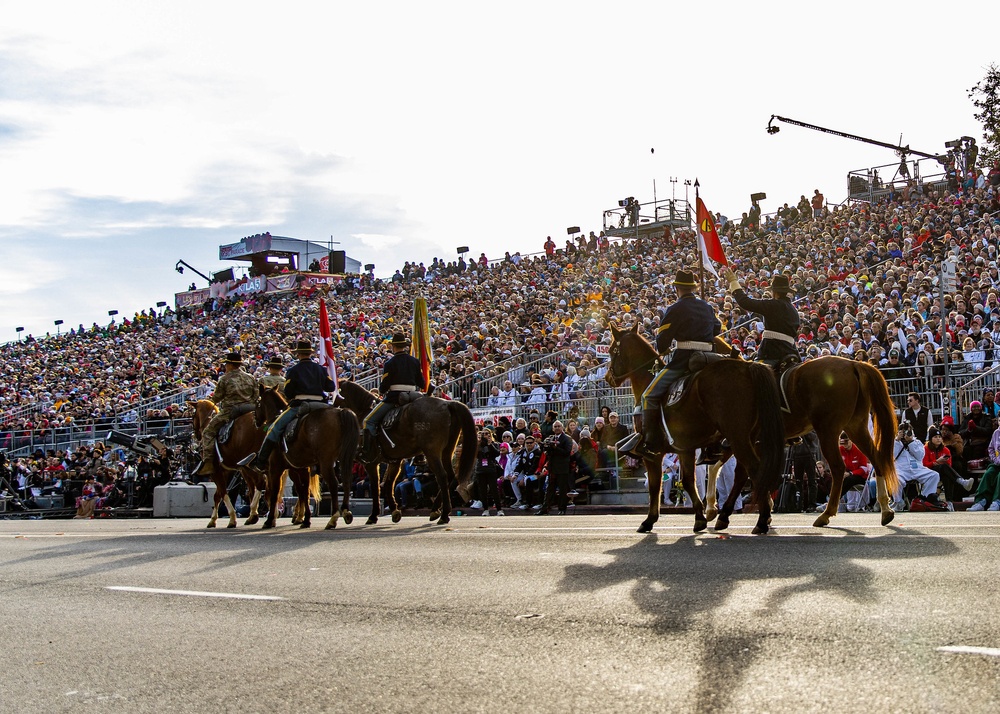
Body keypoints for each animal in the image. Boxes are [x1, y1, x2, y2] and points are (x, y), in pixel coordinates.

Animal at [256, 384, 362, 528]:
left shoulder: (275, 468)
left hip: (326, 461)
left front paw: (270, 520)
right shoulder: (301, 469)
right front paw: (305, 519)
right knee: (346, 480)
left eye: (257, 402)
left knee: (333, 483)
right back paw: (345, 511)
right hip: (344, 458)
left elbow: (275, 492)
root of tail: (340, 412)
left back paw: (333, 518)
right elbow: (304, 492)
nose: (256, 420)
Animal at [334, 378, 478, 524]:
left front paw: (372, 515)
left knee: (442, 476)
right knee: (449, 475)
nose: (332, 406)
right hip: (447, 451)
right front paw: (395, 511)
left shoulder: (370, 463)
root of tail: (447, 404)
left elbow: (374, 488)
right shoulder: (394, 462)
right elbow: (388, 485)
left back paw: (444, 514)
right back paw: (436, 510)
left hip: (432, 452)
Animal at [600, 320, 788, 532]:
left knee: (753, 470)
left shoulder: (653, 454)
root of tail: (749, 367)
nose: (608, 378)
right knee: (746, 473)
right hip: (750, 438)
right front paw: (700, 517)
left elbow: (656, 485)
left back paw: (760, 520)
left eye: (612, 350)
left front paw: (649, 520)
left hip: (738, 438)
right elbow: (689, 481)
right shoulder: (685, 448)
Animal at [708, 354, 904, 528]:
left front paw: (722, 513)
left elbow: (737, 473)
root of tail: (853, 364)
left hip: (827, 431)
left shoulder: (740, 438)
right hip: (855, 426)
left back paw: (826, 514)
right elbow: (724, 468)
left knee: (838, 468)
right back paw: (885, 509)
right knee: (876, 458)